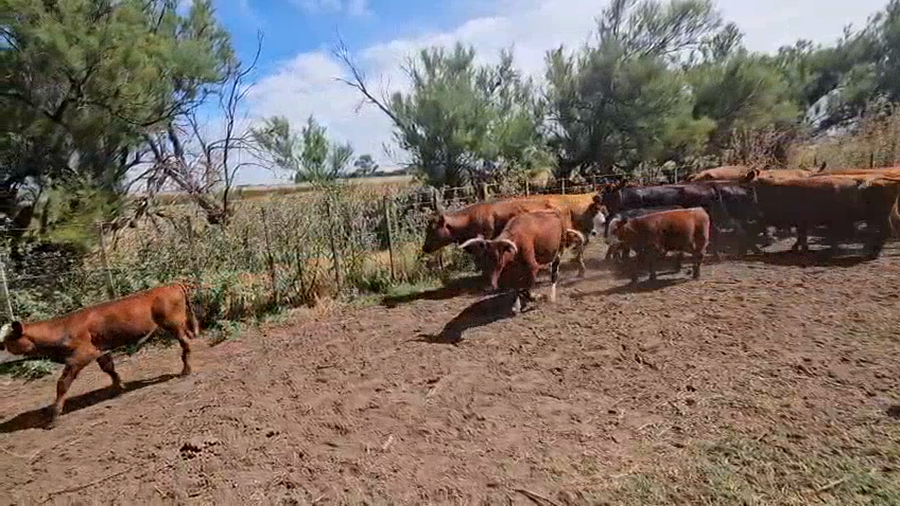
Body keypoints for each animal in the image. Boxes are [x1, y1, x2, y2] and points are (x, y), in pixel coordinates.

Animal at [0, 283, 199, 427]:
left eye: (7, 340)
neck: (62, 328)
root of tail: (172, 284)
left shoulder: (80, 356)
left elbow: (62, 384)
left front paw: (54, 416)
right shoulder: (99, 350)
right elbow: (108, 368)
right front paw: (119, 387)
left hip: (175, 325)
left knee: (186, 346)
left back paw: (186, 370)